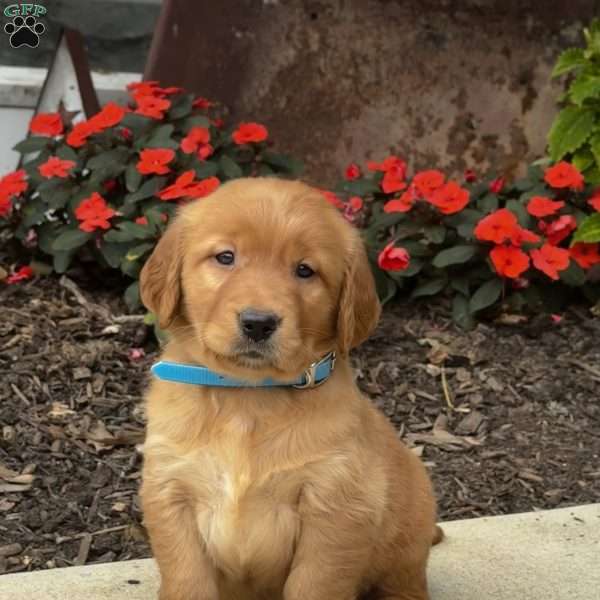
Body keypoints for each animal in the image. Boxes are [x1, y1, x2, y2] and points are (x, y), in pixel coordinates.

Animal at [139, 175, 440, 600]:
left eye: (305, 270)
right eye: (225, 257)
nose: (258, 323)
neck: (247, 399)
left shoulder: (336, 505)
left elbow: (314, 583)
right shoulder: (170, 491)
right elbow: (188, 581)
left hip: (406, 548)